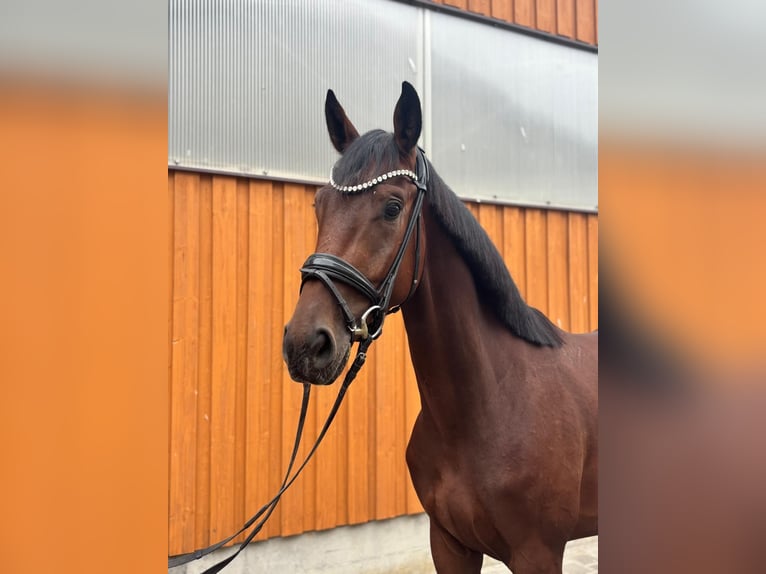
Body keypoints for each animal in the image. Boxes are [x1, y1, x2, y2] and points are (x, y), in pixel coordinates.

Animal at [282, 82, 598, 574]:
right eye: (319, 206)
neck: (487, 405)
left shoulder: (538, 554)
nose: (305, 343)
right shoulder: (448, 545)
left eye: (393, 207)